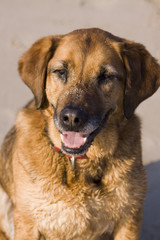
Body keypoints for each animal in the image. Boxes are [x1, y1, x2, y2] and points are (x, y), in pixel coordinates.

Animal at [0, 28, 160, 240]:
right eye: (60, 72)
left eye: (106, 76)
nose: (71, 118)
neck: (80, 164)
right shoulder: (28, 222)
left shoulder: (129, 220)